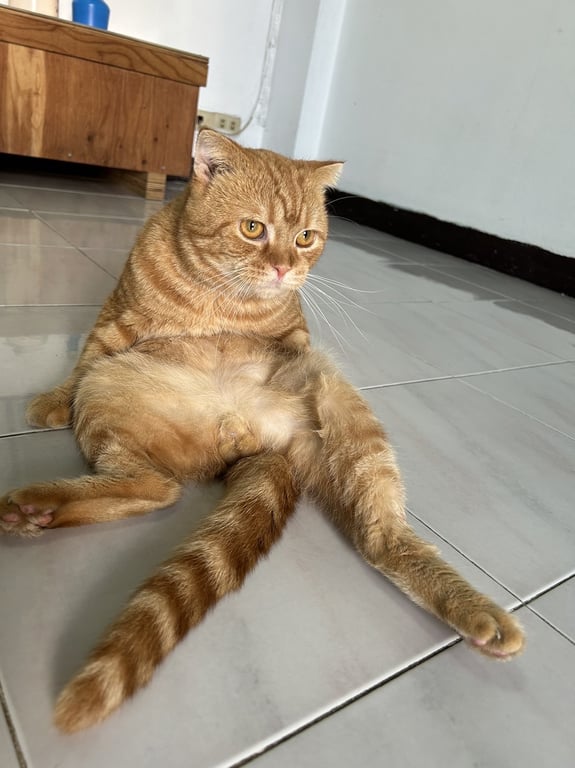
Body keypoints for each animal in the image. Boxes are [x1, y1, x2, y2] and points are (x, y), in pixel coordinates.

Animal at [0, 128, 524, 733]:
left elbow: (290, 342)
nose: (282, 268)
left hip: (350, 425)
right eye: (254, 229)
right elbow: (82, 356)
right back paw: (37, 509)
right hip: (108, 387)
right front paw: (50, 401)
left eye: (304, 238)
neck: (220, 298)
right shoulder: (116, 322)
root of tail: (256, 440)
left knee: (374, 538)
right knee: (153, 486)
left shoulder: (297, 336)